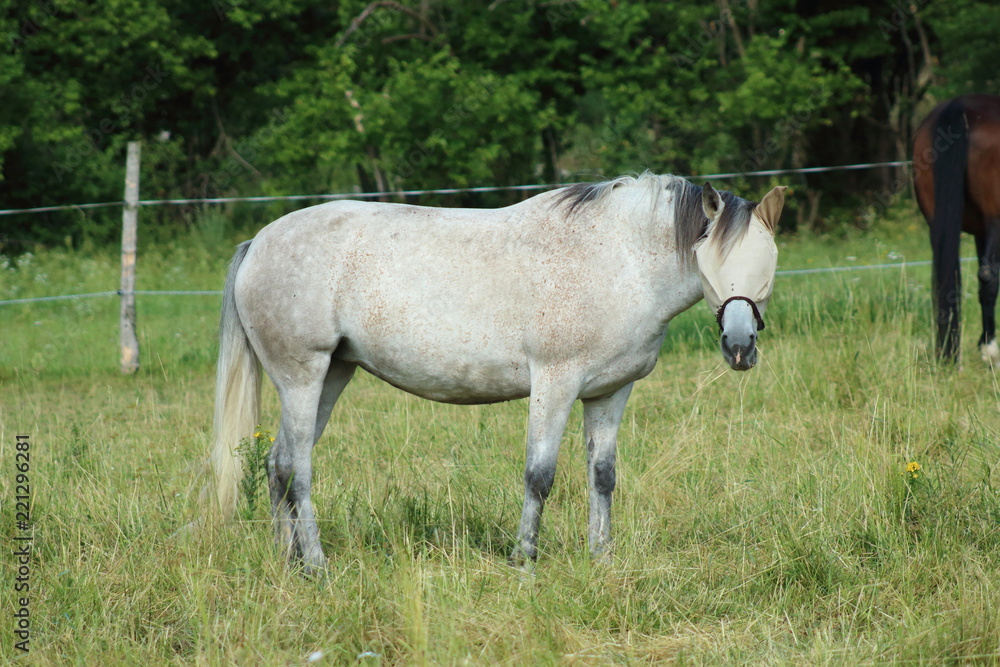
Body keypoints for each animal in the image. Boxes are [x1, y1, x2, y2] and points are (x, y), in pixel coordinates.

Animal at [202, 172, 787, 572]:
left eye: (768, 266)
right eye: (710, 262)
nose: (739, 347)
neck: (619, 261)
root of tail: (258, 243)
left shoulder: (610, 393)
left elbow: (603, 476)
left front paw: (601, 558)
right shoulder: (555, 383)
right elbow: (540, 476)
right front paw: (524, 560)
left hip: (331, 376)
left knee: (278, 465)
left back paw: (289, 564)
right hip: (301, 377)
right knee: (298, 470)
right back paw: (319, 566)